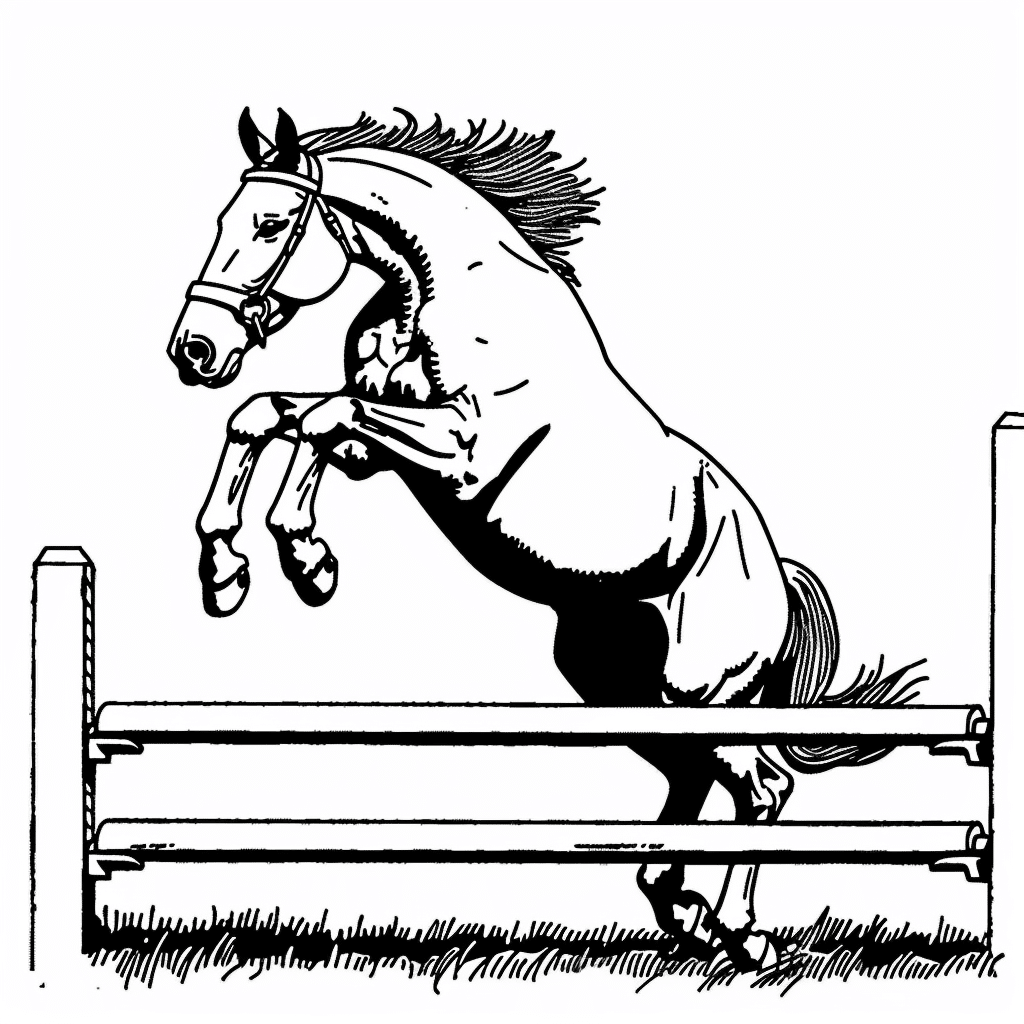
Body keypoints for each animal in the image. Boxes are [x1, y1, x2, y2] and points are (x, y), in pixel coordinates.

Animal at [166, 108, 923, 970]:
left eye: (271, 224)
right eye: (224, 220)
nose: (194, 351)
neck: (433, 290)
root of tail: (776, 580)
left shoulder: (457, 452)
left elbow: (321, 420)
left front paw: (288, 558)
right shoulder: (380, 446)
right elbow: (278, 418)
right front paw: (250, 566)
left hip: (702, 690)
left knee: (760, 787)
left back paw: (742, 932)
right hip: (622, 685)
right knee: (697, 775)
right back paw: (681, 908)